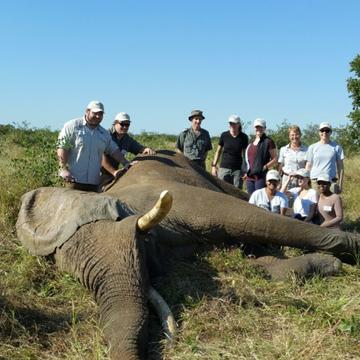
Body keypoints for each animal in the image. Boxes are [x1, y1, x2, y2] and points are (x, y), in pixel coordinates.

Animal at [16, 150, 360, 358]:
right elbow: (257, 257)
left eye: (138, 243)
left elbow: (246, 219)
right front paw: (324, 264)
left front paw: (349, 251)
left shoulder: (179, 199)